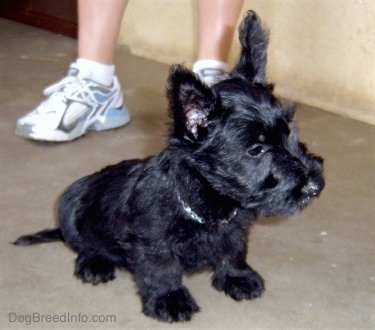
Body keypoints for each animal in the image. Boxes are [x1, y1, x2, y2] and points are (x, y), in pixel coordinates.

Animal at [14, 10, 324, 322]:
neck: (207, 205)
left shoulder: (236, 229)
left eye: (289, 131)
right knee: (83, 245)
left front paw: (237, 278)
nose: (316, 185)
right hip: (70, 204)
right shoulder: (153, 242)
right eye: (256, 149)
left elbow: (234, 251)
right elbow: (162, 270)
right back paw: (94, 264)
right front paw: (170, 300)